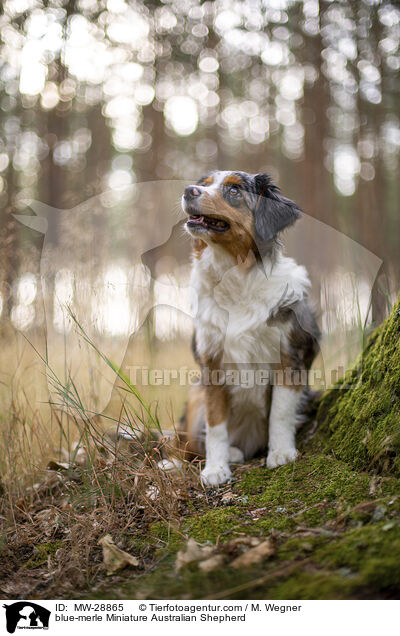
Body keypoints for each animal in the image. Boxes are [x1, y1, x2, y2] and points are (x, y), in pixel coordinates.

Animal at [167, 170, 320, 486]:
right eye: (204, 183)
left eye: (234, 191)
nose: (188, 190)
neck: (235, 275)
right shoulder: (212, 363)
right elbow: (216, 424)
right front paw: (215, 468)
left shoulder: (289, 357)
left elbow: (280, 413)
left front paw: (281, 452)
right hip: (195, 397)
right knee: (184, 445)